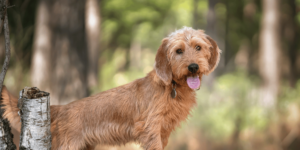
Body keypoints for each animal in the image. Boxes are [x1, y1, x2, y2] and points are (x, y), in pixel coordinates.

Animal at [0, 26, 220, 149]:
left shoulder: (163, 133)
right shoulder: (150, 130)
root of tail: (62, 108)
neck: (171, 86)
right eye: (179, 51)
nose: (193, 67)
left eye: (198, 47)